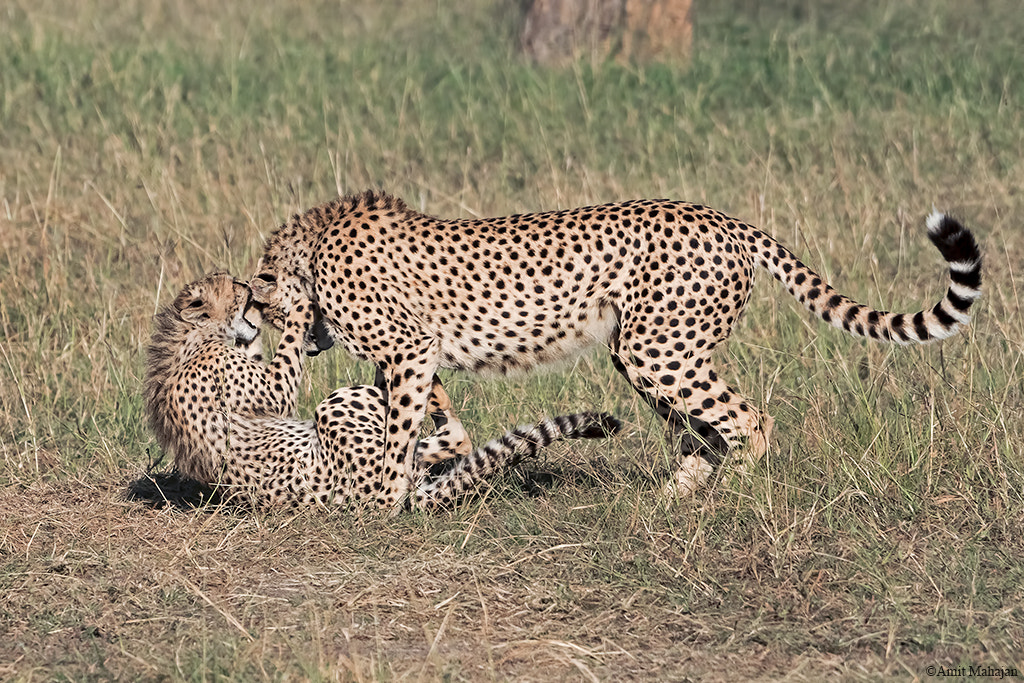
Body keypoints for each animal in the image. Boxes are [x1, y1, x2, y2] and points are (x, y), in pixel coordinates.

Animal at [142, 272, 614, 507]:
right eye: (234, 287)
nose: (251, 290)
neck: (192, 335)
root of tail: (366, 501)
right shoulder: (269, 389)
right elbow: (285, 358)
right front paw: (301, 305)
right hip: (337, 409)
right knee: (443, 440)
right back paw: (425, 385)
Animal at [251, 192, 978, 501]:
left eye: (256, 303)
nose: (251, 326)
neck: (312, 247)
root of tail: (726, 219)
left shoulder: (405, 348)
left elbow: (399, 431)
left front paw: (384, 496)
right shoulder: (414, 354)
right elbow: (432, 421)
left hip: (658, 349)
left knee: (749, 420)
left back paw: (728, 496)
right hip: (645, 353)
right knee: (701, 433)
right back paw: (669, 503)